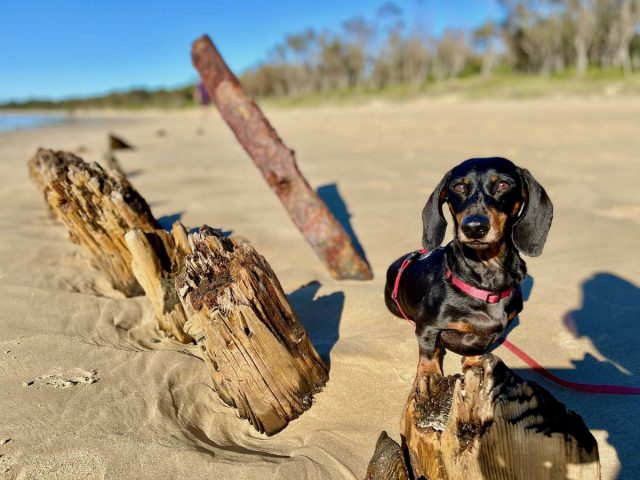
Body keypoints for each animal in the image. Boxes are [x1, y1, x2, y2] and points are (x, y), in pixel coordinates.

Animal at [382, 157, 552, 376]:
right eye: (459, 186)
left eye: (503, 185)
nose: (474, 227)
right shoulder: (427, 325)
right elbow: (428, 352)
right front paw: (428, 376)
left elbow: (477, 349)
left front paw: (474, 364)